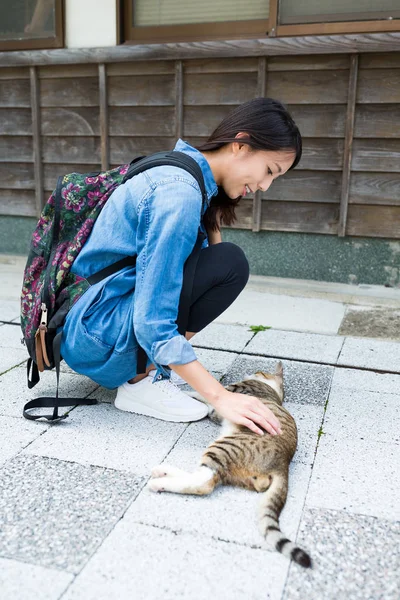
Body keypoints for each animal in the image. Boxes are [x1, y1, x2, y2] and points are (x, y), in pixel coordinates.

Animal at [148, 360, 310, 568]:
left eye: (260, 371)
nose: (253, 370)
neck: (275, 393)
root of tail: (283, 464)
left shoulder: (232, 392)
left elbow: (201, 393)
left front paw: (186, 393)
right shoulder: (218, 410)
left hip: (224, 448)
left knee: (205, 481)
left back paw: (160, 480)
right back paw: (164, 472)